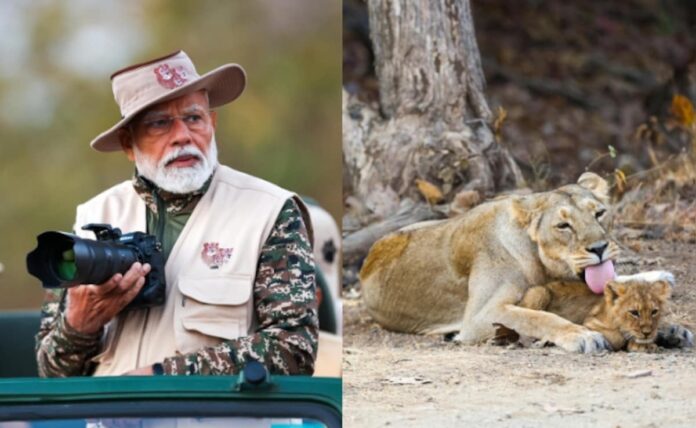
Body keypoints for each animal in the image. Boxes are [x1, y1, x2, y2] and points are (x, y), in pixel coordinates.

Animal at [360, 173, 692, 353]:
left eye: (599, 213)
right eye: (563, 226)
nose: (599, 248)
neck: (541, 262)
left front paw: (670, 330)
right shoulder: (479, 317)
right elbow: (536, 318)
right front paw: (582, 335)